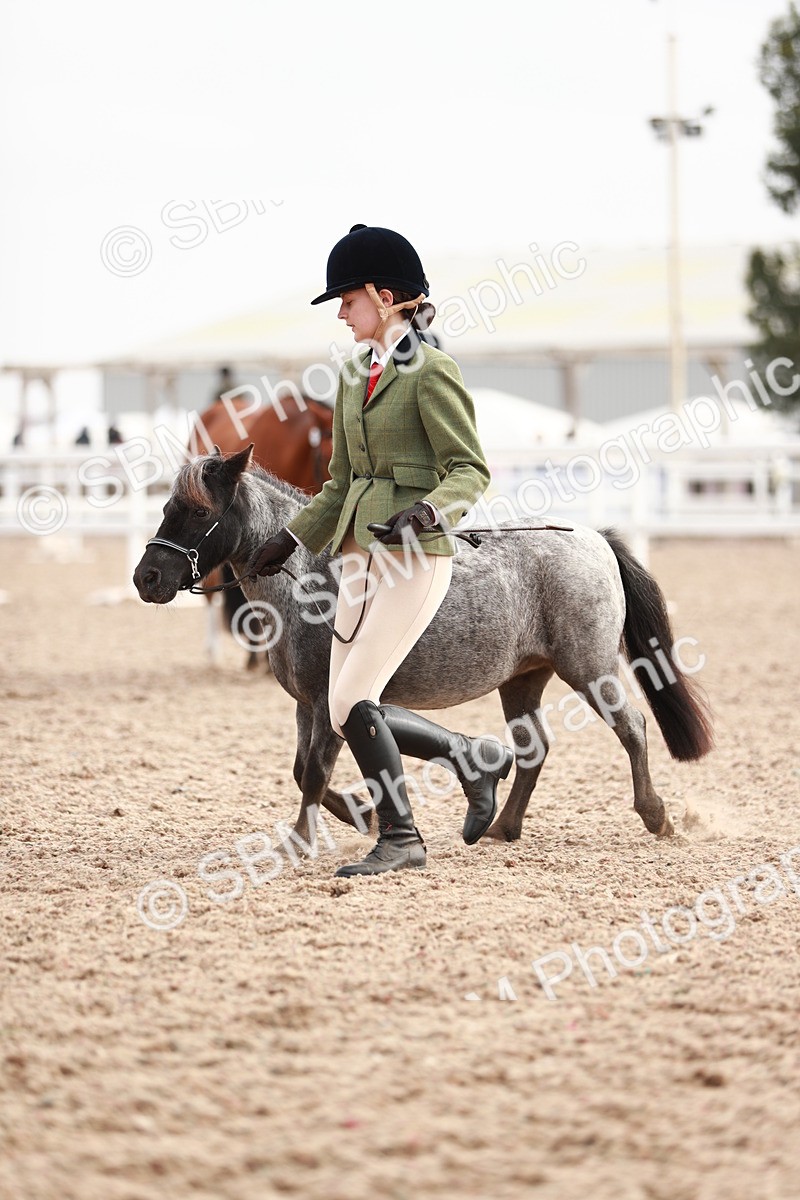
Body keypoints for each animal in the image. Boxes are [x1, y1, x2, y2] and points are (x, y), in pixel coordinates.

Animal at [133, 446, 714, 846]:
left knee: (631, 727)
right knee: (534, 748)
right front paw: (365, 815)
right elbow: (302, 770)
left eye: (196, 512)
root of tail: (594, 539)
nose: (146, 578)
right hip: (523, 679)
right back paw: (501, 826)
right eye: (166, 506)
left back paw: (655, 815)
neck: (312, 580)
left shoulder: (326, 699)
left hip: (589, 668)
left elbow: (315, 772)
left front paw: (302, 841)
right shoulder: (307, 703)